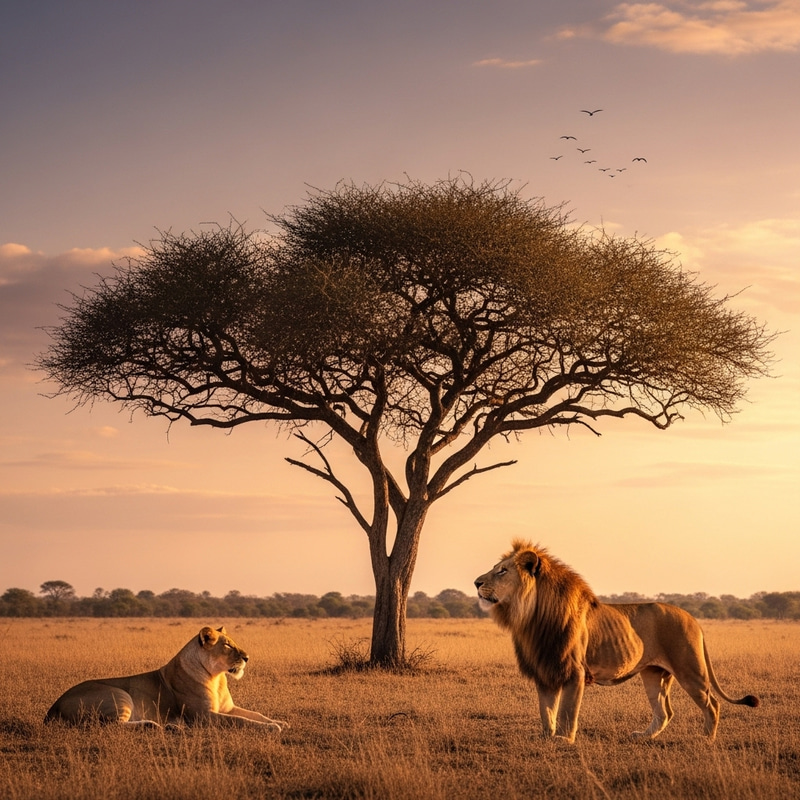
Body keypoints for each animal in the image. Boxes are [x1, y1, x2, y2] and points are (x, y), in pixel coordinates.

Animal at [44, 625, 288, 731]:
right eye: (227, 645)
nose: (247, 657)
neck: (218, 678)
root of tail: (52, 708)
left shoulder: (226, 708)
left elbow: (255, 714)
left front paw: (279, 722)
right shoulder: (203, 716)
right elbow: (241, 721)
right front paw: (272, 729)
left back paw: (170, 727)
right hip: (119, 695)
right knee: (108, 726)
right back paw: (155, 726)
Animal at [475, 541, 759, 743]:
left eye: (502, 571)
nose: (476, 582)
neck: (532, 617)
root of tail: (692, 617)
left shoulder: (574, 671)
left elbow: (567, 710)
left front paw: (564, 740)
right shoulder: (546, 669)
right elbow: (546, 711)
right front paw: (546, 738)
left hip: (690, 670)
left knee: (713, 704)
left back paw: (706, 739)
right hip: (654, 674)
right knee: (664, 712)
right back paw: (643, 737)